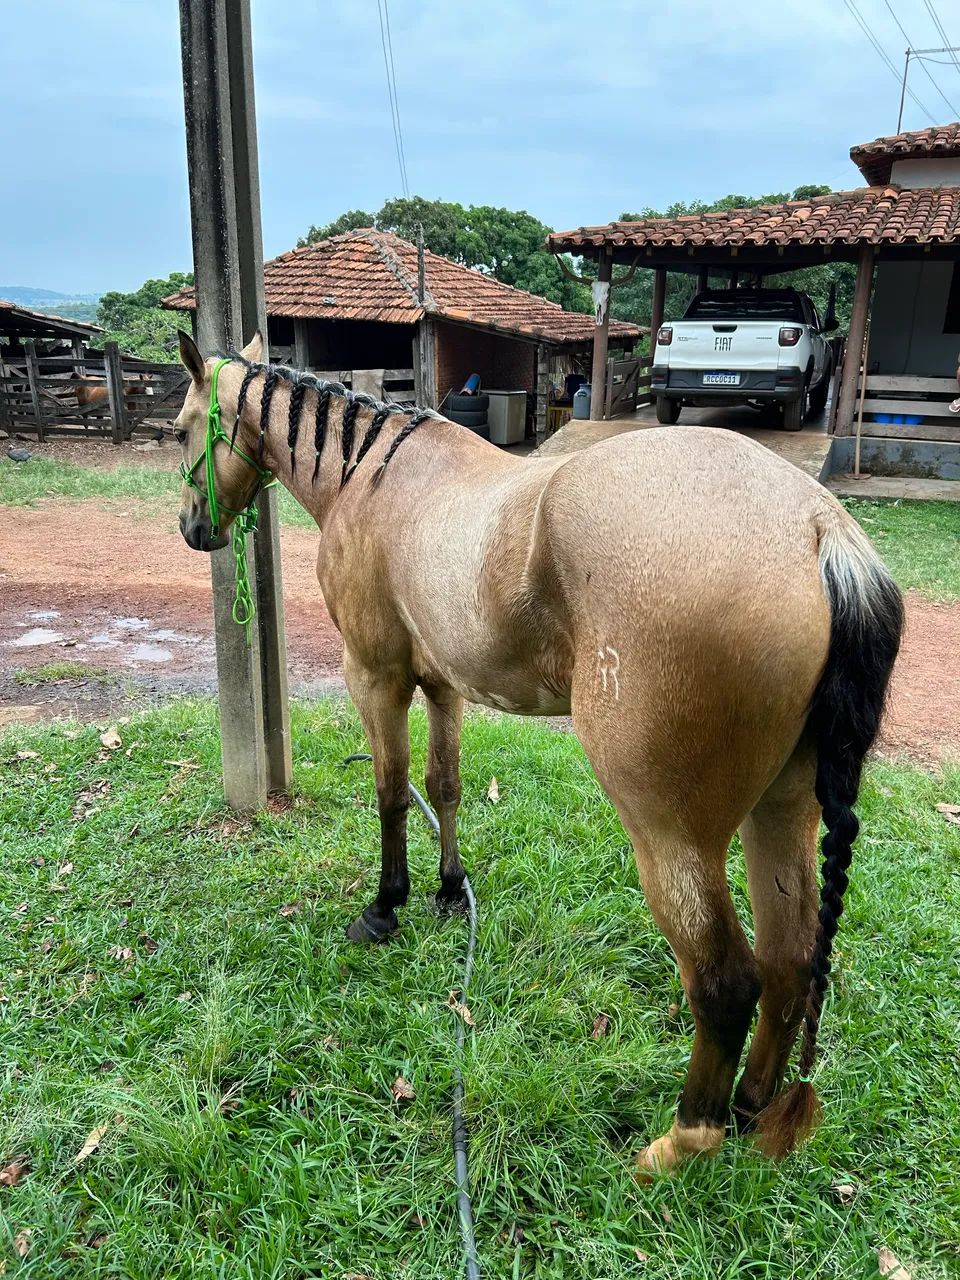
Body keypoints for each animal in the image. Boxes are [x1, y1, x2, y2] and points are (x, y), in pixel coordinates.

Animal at [172, 330, 902, 1174]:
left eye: (180, 430)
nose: (193, 528)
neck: (376, 476)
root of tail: (816, 526)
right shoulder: (442, 684)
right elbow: (443, 785)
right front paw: (448, 892)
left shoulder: (376, 676)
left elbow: (390, 791)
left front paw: (386, 907)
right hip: (782, 810)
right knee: (790, 963)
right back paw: (750, 1112)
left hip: (672, 840)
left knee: (725, 982)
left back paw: (683, 1141)